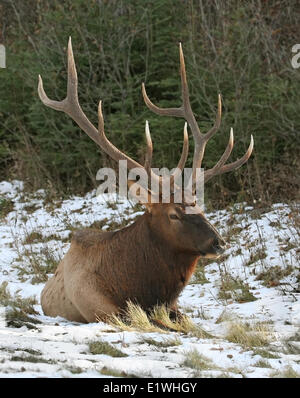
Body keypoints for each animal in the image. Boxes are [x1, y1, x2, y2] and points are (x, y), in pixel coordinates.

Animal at [37, 38, 253, 324]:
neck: (139, 290)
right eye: (173, 214)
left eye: (200, 205)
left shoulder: (174, 307)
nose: (219, 242)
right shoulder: (100, 309)